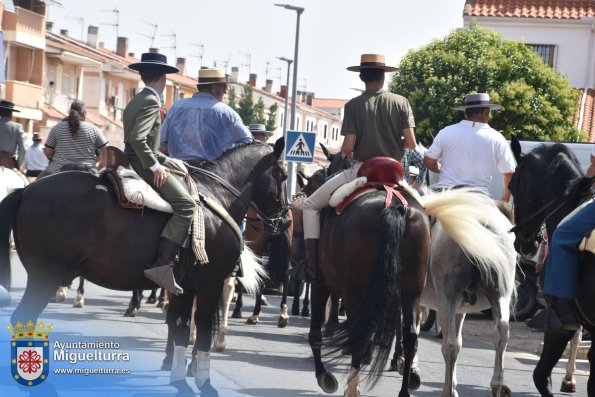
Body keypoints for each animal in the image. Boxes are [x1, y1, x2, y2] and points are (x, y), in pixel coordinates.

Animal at [0, 138, 288, 394]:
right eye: (284, 176)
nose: (285, 220)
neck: (218, 198)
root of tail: (26, 191)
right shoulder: (210, 284)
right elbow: (203, 330)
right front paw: (205, 385)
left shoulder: (184, 287)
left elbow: (181, 328)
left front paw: (180, 382)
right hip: (45, 277)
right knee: (23, 319)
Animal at [420, 188, 516, 396]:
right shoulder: (460, 309)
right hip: (500, 294)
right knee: (501, 332)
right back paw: (497, 384)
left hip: (447, 298)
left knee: (449, 344)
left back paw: (448, 391)